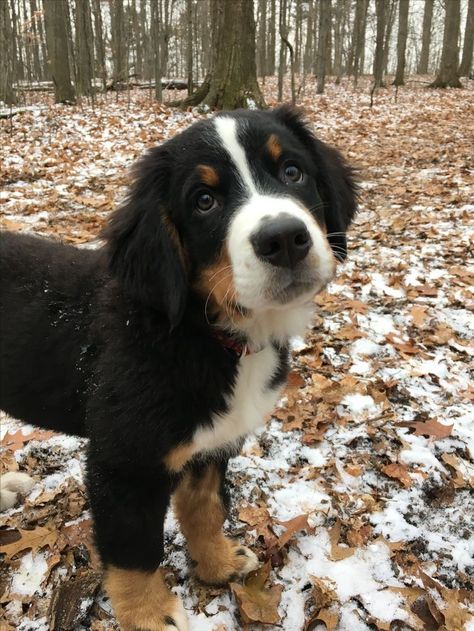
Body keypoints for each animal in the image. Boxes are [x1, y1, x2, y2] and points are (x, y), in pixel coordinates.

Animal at [0, 106, 356, 628]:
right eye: (204, 201)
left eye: (293, 171)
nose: (284, 240)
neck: (207, 333)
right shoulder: (123, 463)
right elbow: (134, 553)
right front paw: (149, 615)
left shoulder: (215, 441)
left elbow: (204, 508)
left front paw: (218, 563)